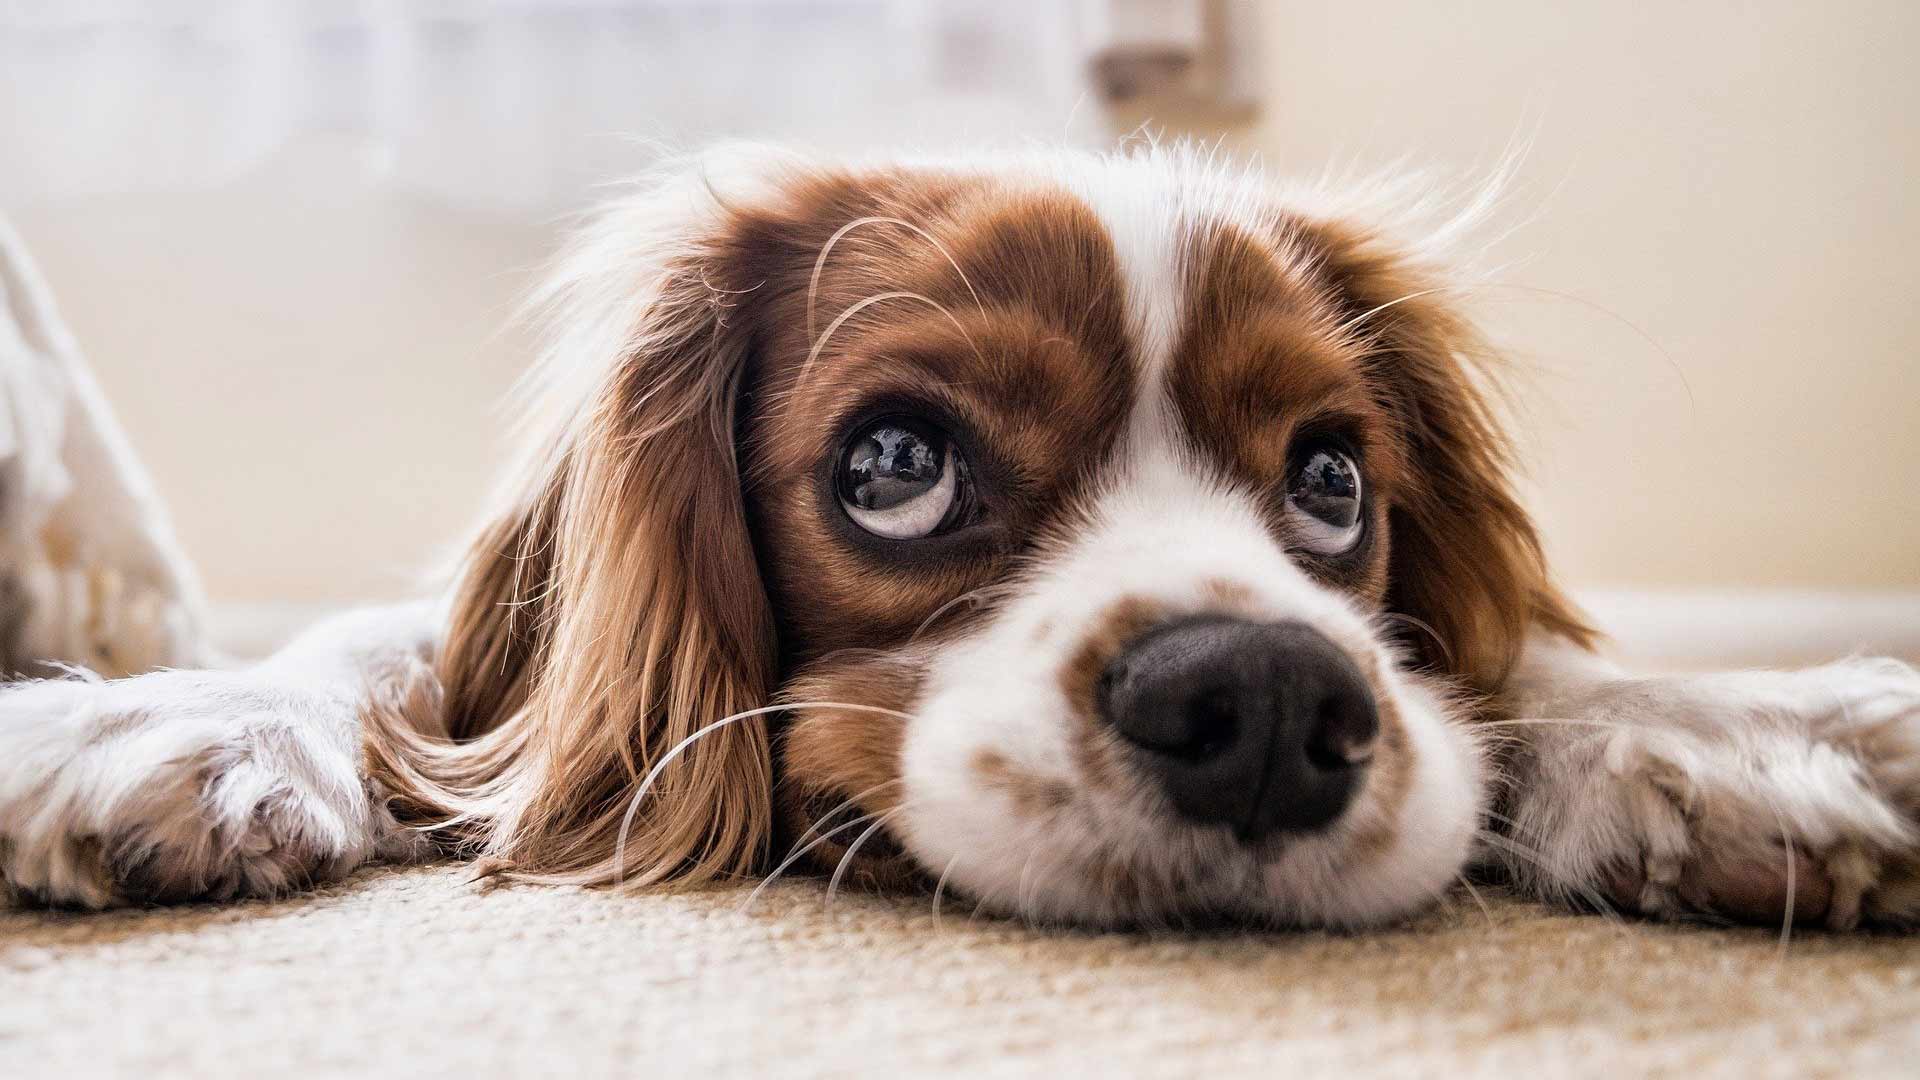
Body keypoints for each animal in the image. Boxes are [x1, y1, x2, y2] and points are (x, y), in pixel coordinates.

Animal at [3, 145, 1920, 926]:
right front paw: (170, 718)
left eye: (1332, 484)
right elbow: (383, 654)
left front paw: (1734, 729)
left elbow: (1522, 670)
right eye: (897, 464)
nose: (1266, 704)